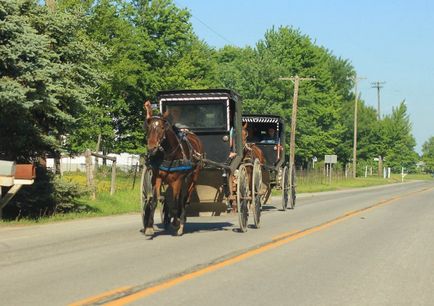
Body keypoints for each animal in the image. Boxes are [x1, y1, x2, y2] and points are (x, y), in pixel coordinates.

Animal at [143, 101, 203, 235]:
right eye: (148, 127)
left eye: (162, 127)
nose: (152, 148)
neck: (169, 154)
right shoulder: (157, 178)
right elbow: (154, 201)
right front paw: (149, 227)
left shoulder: (177, 180)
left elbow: (175, 203)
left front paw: (176, 223)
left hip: (192, 178)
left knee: (185, 198)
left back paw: (181, 221)